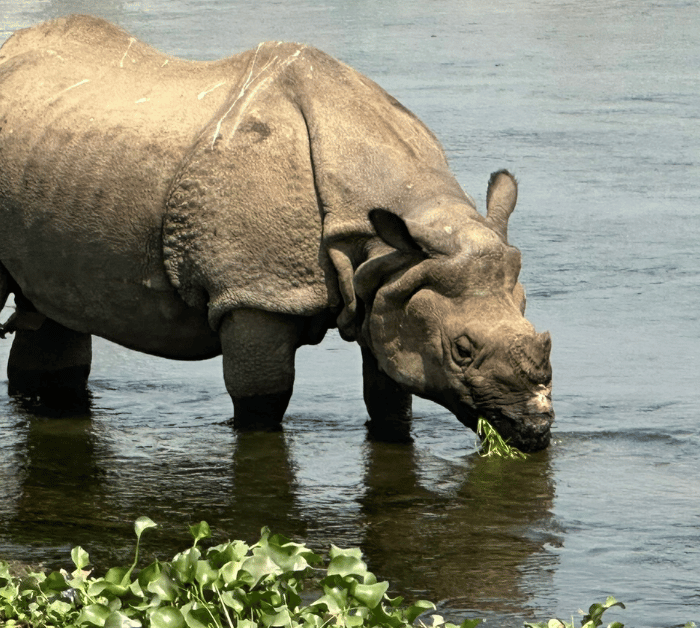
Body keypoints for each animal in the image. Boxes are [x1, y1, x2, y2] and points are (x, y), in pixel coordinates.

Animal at [0, 15, 553, 451]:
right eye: (462, 350)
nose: (536, 432)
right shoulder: (256, 293)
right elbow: (263, 399)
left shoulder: (391, 281)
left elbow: (389, 393)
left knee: (53, 309)